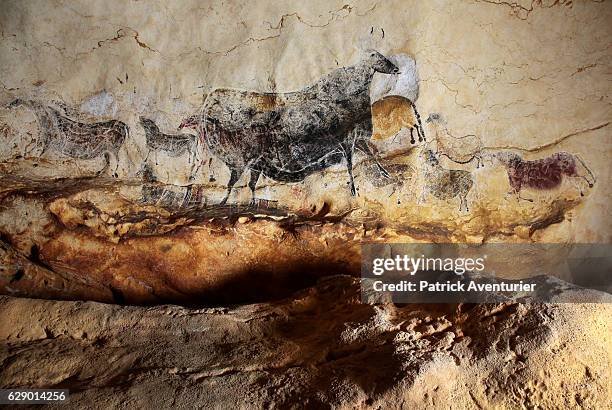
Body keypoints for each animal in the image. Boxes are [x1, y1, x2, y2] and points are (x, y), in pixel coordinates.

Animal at [179, 50, 400, 204]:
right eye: (381, 59)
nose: (396, 69)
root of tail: (209, 101)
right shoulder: (347, 140)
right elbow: (351, 164)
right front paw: (355, 190)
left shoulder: (355, 138)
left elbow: (370, 156)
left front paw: (386, 174)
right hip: (241, 161)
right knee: (232, 181)